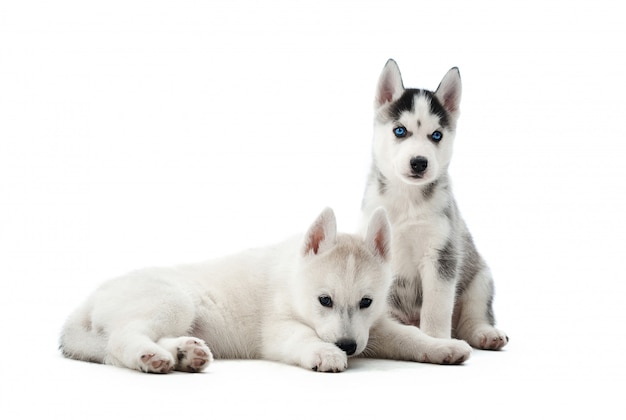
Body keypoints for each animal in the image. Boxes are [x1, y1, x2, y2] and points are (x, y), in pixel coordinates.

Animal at [59, 208, 468, 372]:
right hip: (174, 301)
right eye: (324, 300)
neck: (293, 280)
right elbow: (304, 336)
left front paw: (443, 347)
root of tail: (86, 301)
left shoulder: (374, 328)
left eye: (366, 301)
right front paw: (325, 353)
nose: (348, 347)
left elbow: (410, 337)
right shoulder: (278, 329)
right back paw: (151, 357)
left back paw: (185, 354)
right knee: (121, 339)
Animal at [360, 57, 508, 350]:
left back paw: (485, 333)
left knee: (471, 317)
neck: (407, 199)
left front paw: (437, 340)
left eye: (436, 135)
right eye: (400, 131)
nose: (419, 162)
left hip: (480, 278)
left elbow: (437, 307)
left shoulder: (441, 254)